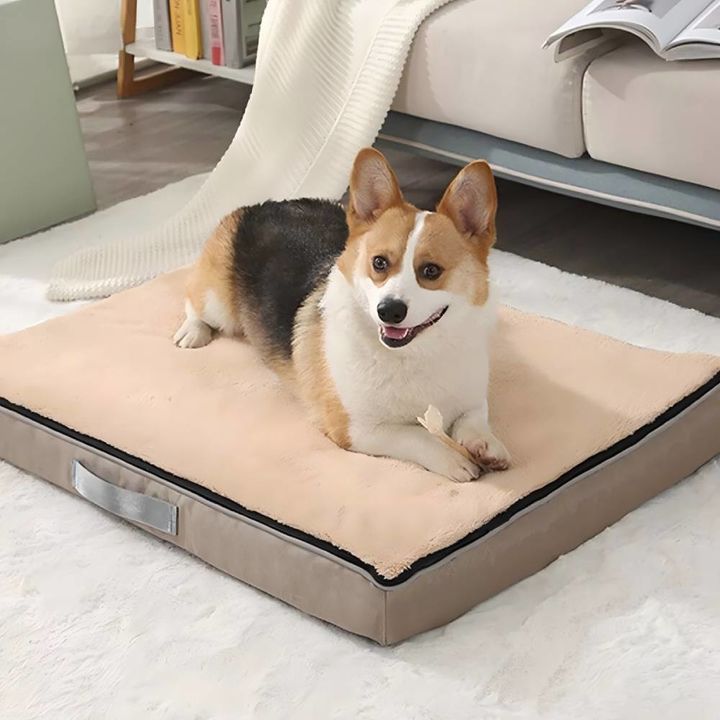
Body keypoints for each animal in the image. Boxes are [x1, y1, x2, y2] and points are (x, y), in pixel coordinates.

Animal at [174, 148, 510, 481]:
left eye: (431, 271)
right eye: (379, 263)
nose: (388, 311)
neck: (417, 353)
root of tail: (268, 204)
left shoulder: (472, 400)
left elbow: (474, 419)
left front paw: (486, 445)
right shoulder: (356, 428)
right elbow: (417, 436)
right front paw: (454, 460)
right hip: (217, 304)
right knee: (192, 297)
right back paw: (192, 332)